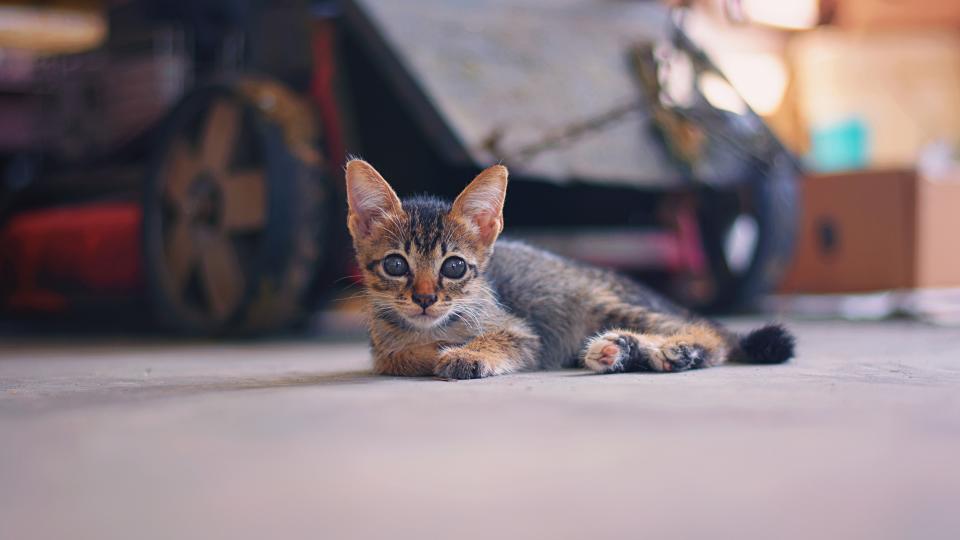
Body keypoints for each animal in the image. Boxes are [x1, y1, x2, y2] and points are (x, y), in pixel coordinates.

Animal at [344, 159, 796, 380]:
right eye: (396, 264)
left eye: (453, 267)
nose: (424, 298)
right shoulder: (382, 349)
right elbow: (396, 355)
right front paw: (430, 350)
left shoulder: (526, 334)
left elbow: (496, 340)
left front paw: (465, 352)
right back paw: (622, 351)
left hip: (599, 302)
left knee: (712, 333)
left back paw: (670, 350)